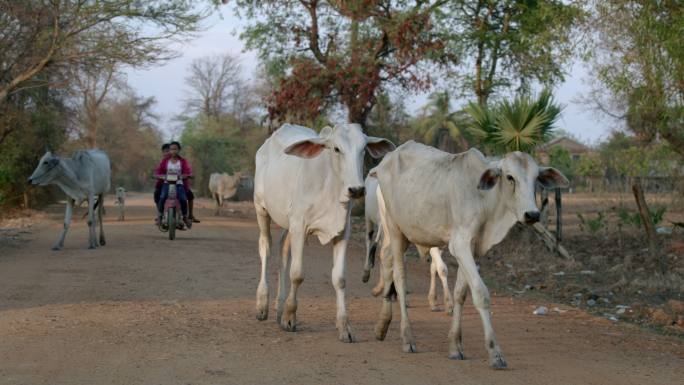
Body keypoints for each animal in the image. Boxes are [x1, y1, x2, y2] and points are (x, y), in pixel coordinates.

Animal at [252, 123, 396, 342]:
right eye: (336, 149)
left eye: (363, 148)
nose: (356, 189)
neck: (330, 187)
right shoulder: (299, 226)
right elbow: (297, 274)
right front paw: (290, 318)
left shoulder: (342, 232)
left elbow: (339, 279)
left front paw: (344, 327)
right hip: (261, 208)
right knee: (265, 249)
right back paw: (263, 304)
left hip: (287, 222)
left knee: (282, 251)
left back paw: (278, 307)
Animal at [364, 172, 454, 314]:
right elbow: (442, 269)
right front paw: (449, 305)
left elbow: (434, 268)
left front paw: (433, 301)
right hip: (386, 227)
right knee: (384, 254)